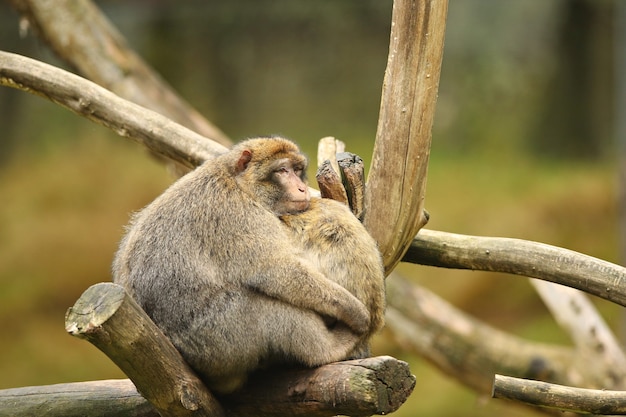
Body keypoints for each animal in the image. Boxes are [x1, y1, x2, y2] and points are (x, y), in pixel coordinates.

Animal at [111, 136, 370, 394]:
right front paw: (354, 310)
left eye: (297, 170)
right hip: (213, 339)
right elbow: (276, 270)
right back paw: (327, 349)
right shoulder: (239, 214)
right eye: (282, 170)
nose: (302, 188)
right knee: (262, 305)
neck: (239, 182)